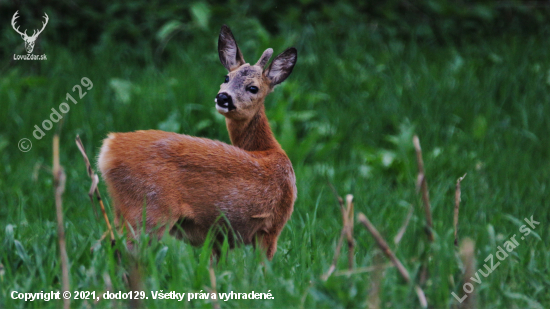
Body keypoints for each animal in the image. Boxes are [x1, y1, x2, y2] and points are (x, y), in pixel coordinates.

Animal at [97, 25, 300, 258]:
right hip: (148, 209)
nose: (223, 97)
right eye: (227, 77)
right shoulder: (272, 225)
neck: (269, 150)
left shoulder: (217, 239)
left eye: (253, 88)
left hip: (123, 210)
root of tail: (108, 149)